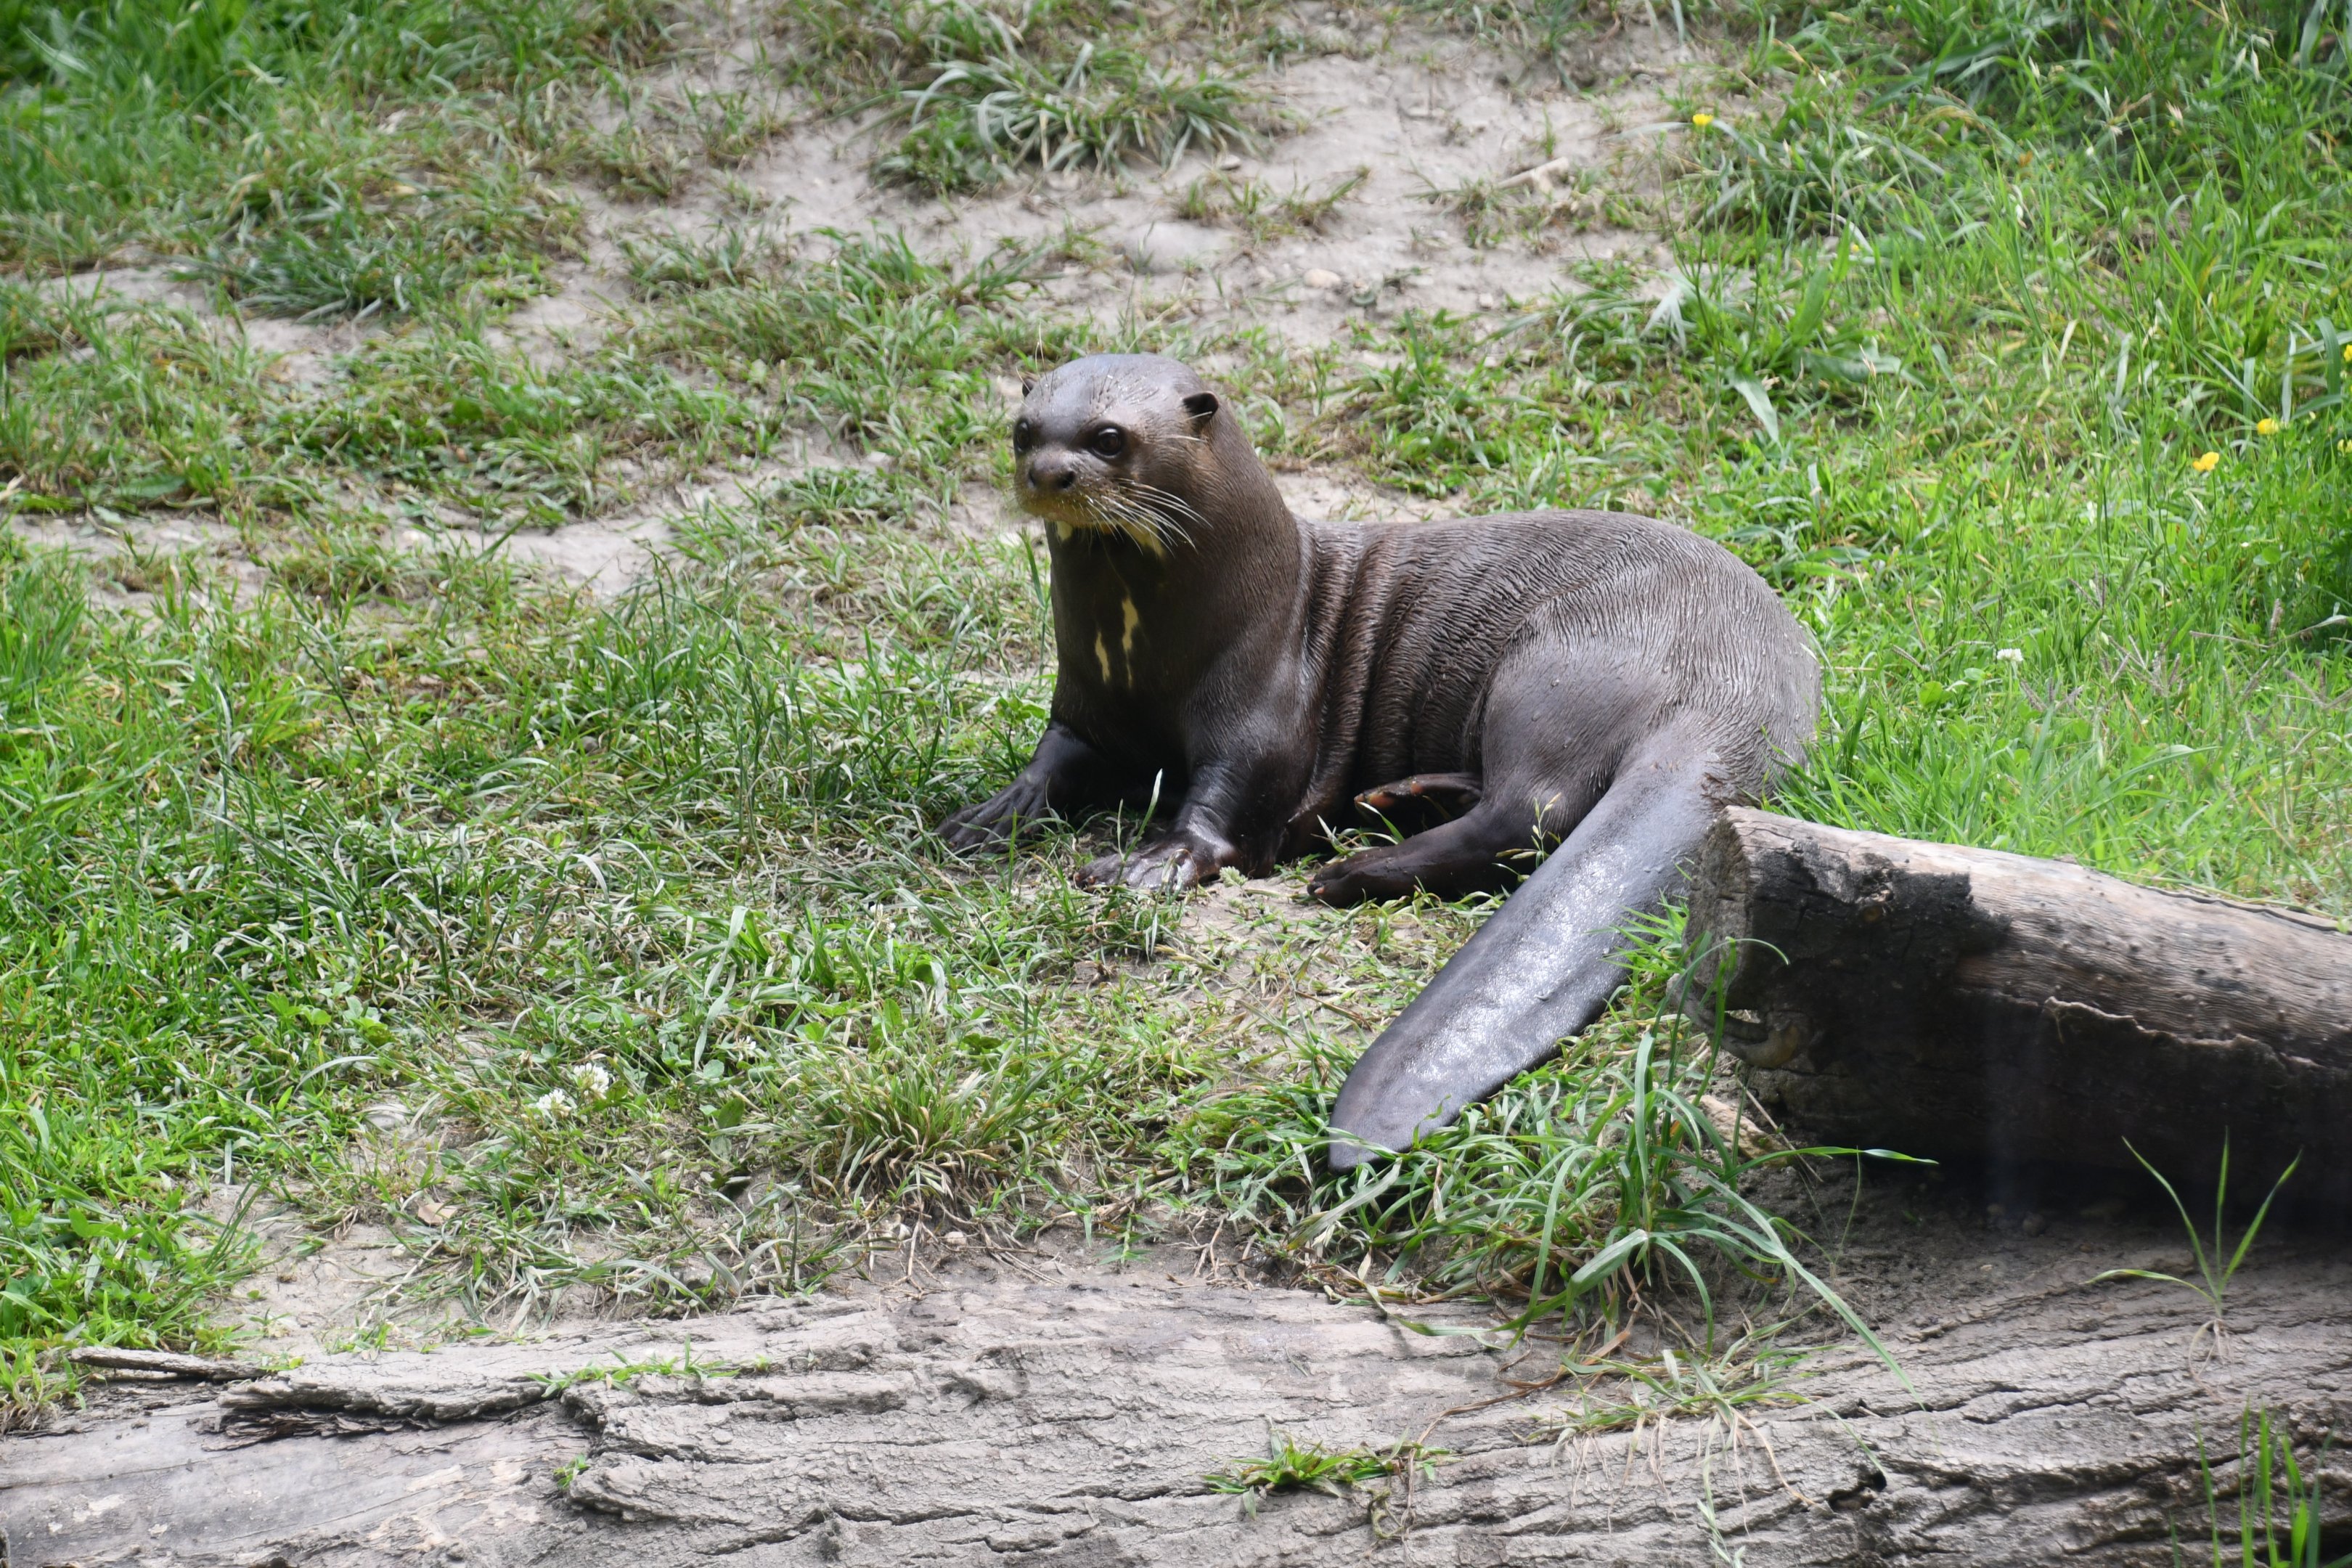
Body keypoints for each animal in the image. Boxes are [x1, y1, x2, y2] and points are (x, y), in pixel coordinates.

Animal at [942, 354, 1818, 1167]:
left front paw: (1154, 863)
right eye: (1024, 430)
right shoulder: (1084, 710)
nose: (1047, 474)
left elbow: (1231, 800)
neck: (1149, 654)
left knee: (1532, 813)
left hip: (1555, 667)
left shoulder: (1262, 703)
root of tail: (1734, 686)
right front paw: (986, 817)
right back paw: (1393, 803)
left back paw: (1351, 871)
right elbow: (1050, 763)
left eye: (1108, 438)